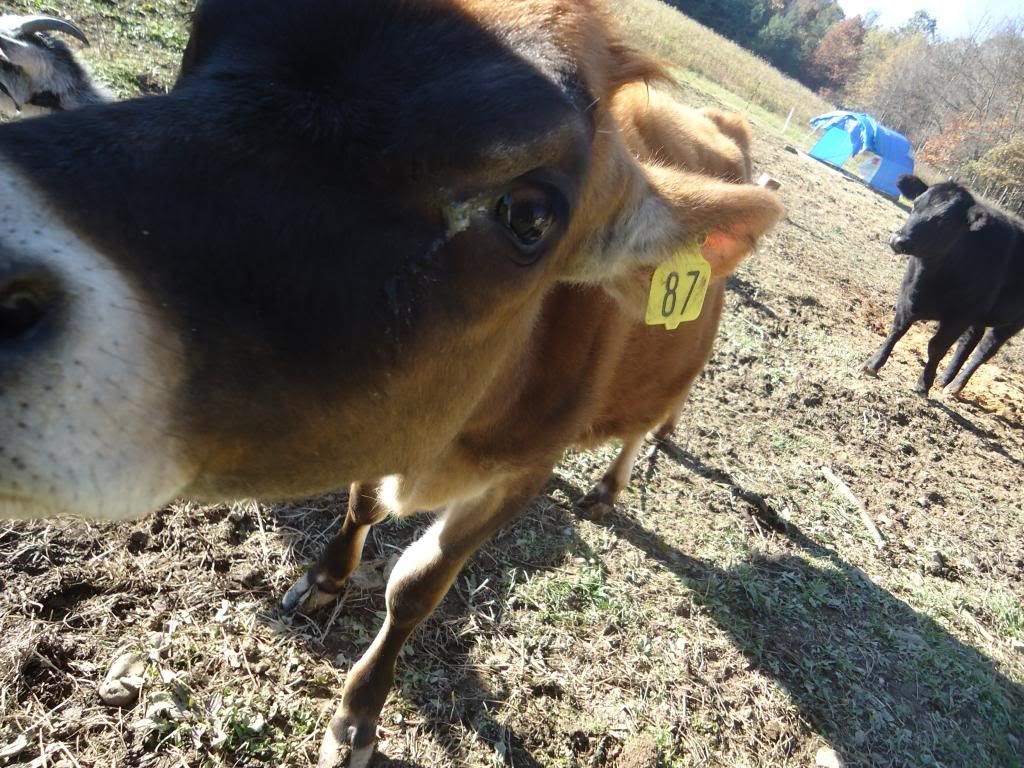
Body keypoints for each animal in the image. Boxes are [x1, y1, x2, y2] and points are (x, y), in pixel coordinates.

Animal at [0, 2, 783, 765]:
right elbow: (362, 503)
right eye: (201, 43)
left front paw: (357, 719)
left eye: (530, 215)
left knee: (650, 421)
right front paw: (324, 579)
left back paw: (612, 484)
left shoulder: (523, 473)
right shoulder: (388, 415)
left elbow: (416, 585)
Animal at [865, 174, 1024, 396]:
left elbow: (936, 347)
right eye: (915, 204)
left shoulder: (959, 316)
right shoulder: (907, 294)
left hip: (1011, 322)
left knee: (984, 351)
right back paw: (945, 380)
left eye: (943, 220)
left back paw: (955, 386)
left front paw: (924, 384)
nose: (898, 239)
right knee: (969, 341)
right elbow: (897, 328)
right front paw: (874, 364)